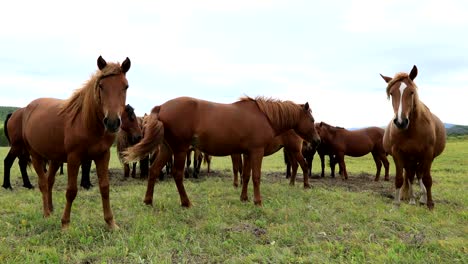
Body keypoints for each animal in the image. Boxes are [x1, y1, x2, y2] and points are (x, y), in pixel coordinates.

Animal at [2, 103, 142, 190]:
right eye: (131, 117)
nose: (139, 136)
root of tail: (14, 114)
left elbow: (86, 165)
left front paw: (86, 183)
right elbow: (86, 165)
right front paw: (86, 184)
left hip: (24, 149)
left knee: (21, 164)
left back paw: (27, 184)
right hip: (17, 146)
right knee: (8, 161)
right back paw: (7, 185)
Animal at [20, 55, 130, 229]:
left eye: (125, 86)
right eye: (101, 86)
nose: (112, 122)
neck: (86, 122)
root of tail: (28, 108)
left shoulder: (103, 156)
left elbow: (105, 188)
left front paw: (111, 223)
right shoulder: (74, 158)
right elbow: (71, 191)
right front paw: (65, 224)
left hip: (55, 159)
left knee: (49, 181)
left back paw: (51, 209)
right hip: (36, 155)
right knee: (43, 183)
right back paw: (46, 214)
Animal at [123, 96, 322, 207]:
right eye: (312, 120)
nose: (317, 141)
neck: (265, 117)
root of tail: (162, 107)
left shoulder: (247, 153)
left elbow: (246, 176)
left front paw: (244, 198)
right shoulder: (256, 152)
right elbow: (256, 177)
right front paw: (257, 201)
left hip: (166, 149)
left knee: (154, 170)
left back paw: (148, 201)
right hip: (180, 150)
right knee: (178, 175)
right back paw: (186, 203)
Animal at [380, 65, 446, 209]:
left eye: (411, 92)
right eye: (391, 93)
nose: (400, 122)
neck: (411, 130)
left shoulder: (428, 154)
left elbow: (427, 179)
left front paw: (430, 204)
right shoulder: (397, 154)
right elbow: (400, 179)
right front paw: (396, 204)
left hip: (423, 158)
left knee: (419, 175)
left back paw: (422, 198)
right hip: (410, 159)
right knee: (410, 176)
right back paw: (411, 199)